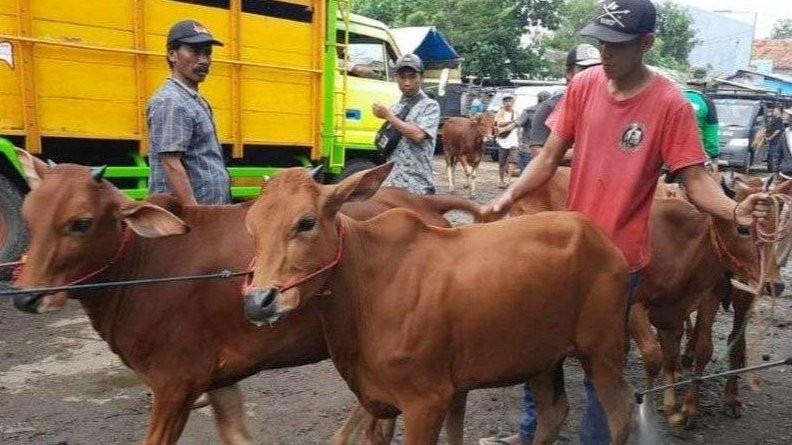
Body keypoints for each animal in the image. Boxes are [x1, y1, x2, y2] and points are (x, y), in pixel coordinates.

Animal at [7, 152, 476, 444]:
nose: (25, 297)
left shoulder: (175, 382)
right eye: (28, 215)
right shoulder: (219, 380)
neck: (144, 266)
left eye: (80, 223)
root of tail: (417, 201)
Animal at [244, 164, 636, 444]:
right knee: (553, 414)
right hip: (541, 357)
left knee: (622, 411)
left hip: (602, 351)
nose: (258, 302)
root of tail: (599, 237)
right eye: (251, 228)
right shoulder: (394, 401)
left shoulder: (426, 400)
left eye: (306, 222)